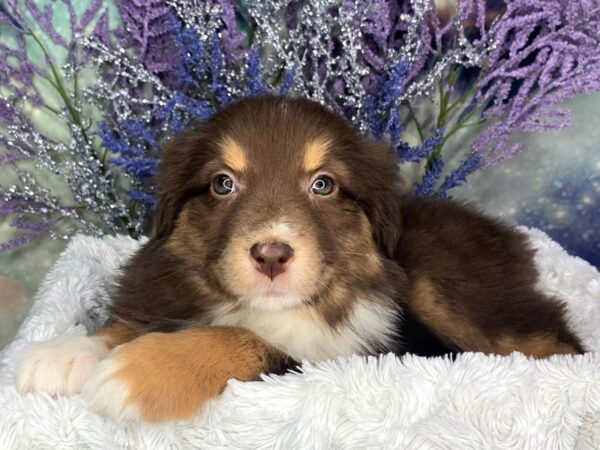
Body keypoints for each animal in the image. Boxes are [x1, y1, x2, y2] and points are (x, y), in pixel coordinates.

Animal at [14, 96, 584, 424]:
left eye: (323, 184)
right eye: (223, 183)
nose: (271, 254)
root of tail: (510, 236)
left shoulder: (338, 358)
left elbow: (242, 338)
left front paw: (139, 373)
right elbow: (138, 322)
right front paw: (66, 351)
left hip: (445, 286)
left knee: (557, 344)